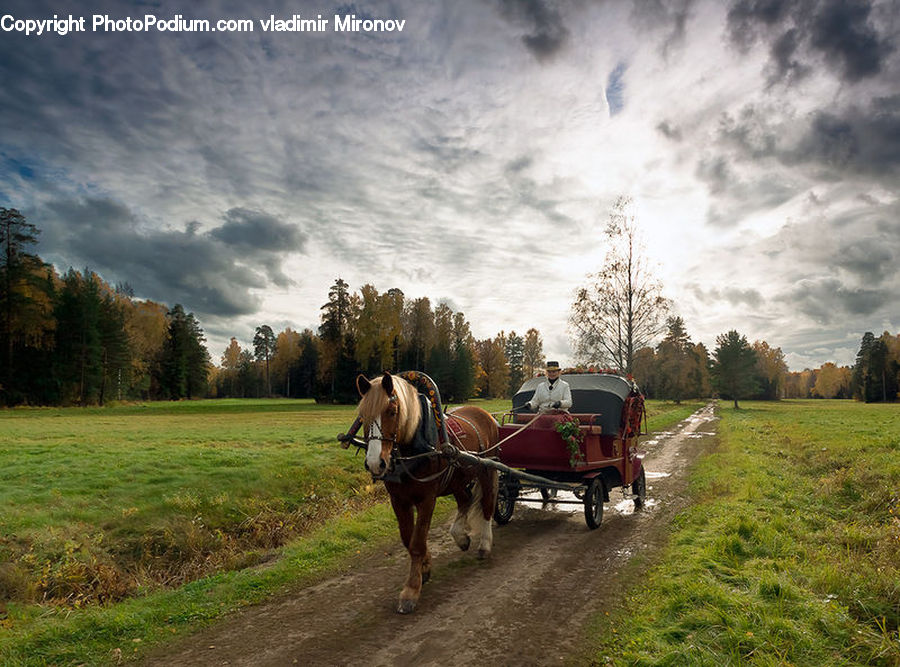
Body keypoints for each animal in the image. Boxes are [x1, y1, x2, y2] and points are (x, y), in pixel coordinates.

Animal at [355, 371, 499, 614]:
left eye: (392, 412)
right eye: (362, 415)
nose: (376, 463)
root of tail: (485, 414)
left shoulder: (427, 499)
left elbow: (417, 542)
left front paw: (411, 590)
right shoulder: (398, 500)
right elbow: (408, 539)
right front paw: (425, 568)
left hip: (487, 469)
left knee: (487, 504)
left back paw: (485, 544)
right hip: (457, 479)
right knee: (465, 499)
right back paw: (460, 536)